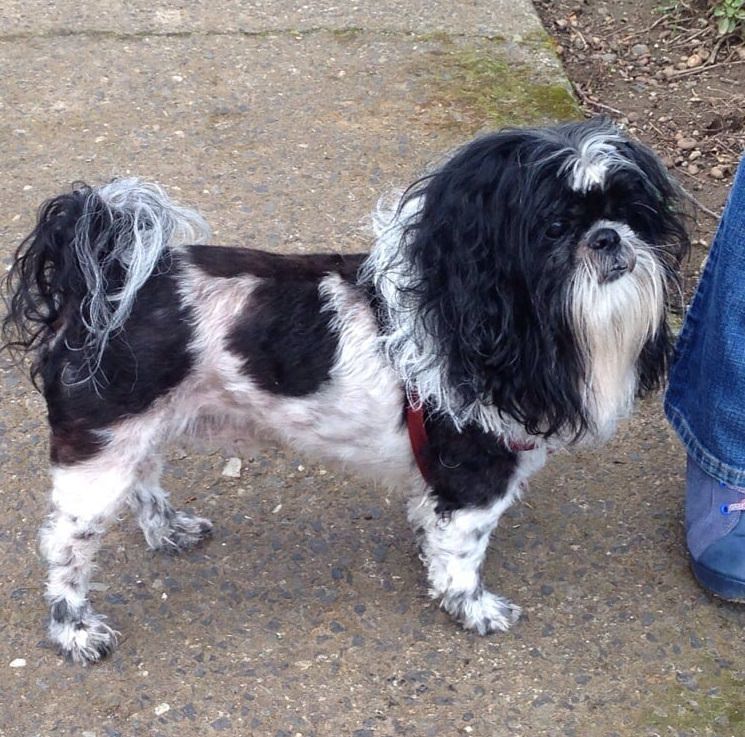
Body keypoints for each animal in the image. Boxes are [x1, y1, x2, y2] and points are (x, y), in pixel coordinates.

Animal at [0, 119, 688, 660]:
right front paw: (472, 607)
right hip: (98, 454)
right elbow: (464, 552)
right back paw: (74, 629)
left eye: (632, 213)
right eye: (553, 225)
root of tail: (107, 283)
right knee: (65, 545)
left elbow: (433, 528)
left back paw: (166, 529)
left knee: (143, 479)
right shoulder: (475, 475)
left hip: (134, 431)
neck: (471, 312)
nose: (609, 237)